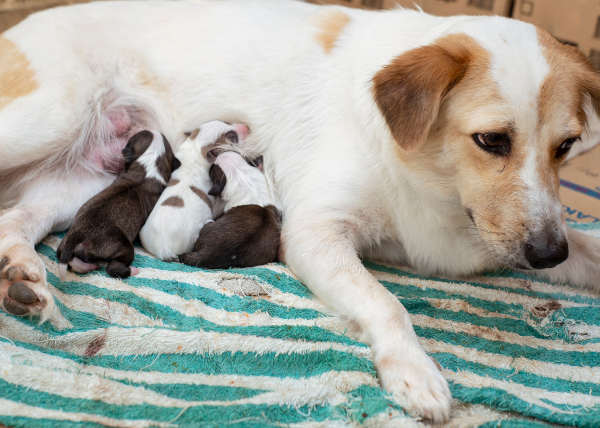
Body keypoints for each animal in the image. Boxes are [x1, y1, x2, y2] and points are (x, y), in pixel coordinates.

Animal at [55, 130, 179, 278]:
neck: (149, 164)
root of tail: (77, 235)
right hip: (123, 245)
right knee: (114, 268)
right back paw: (133, 270)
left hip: (64, 243)